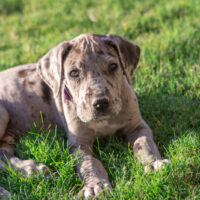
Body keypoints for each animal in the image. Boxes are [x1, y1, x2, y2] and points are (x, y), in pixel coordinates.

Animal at [0, 33, 169, 198]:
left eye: (113, 66)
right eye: (74, 73)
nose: (100, 103)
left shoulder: (137, 126)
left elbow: (144, 143)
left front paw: (153, 164)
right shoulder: (78, 145)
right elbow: (89, 163)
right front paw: (95, 185)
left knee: (3, 153)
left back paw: (30, 169)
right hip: (3, 113)